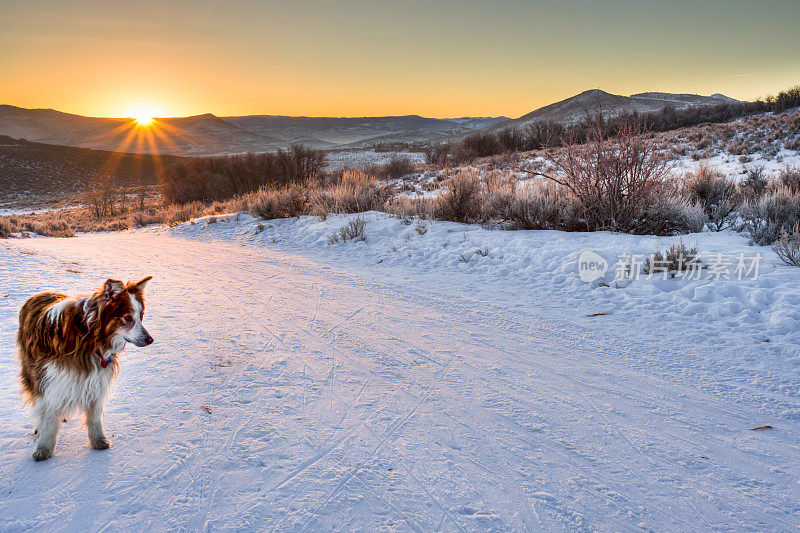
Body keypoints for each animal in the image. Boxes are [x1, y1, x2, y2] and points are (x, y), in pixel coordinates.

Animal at [17, 276, 154, 460]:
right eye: (127, 317)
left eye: (141, 316)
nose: (150, 340)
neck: (88, 338)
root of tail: (39, 294)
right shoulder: (51, 379)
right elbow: (48, 416)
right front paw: (43, 448)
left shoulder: (97, 379)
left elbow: (94, 416)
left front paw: (98, 440)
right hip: (31, 371)